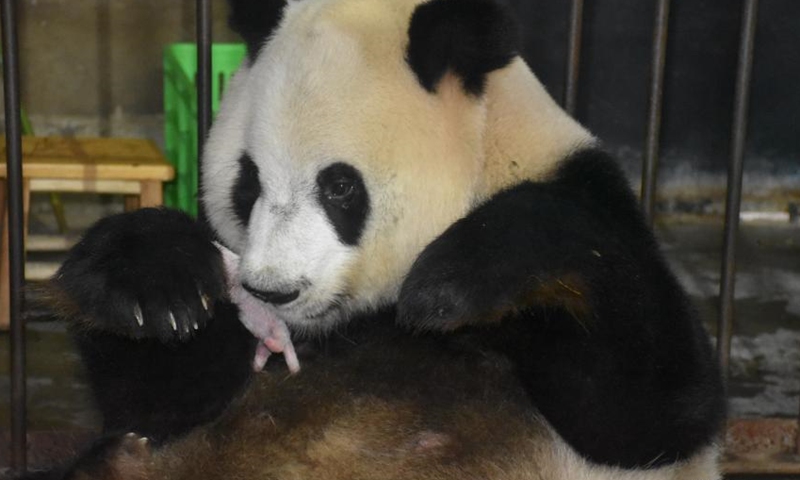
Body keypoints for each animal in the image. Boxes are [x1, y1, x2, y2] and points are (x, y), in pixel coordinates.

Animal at [36, 0, 724, 478]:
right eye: (248, 180)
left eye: (340, 187)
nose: (273, 292)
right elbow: (159, 402)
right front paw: (152, 285)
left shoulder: (585, 193)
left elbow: (650, 409)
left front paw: (452, 283)